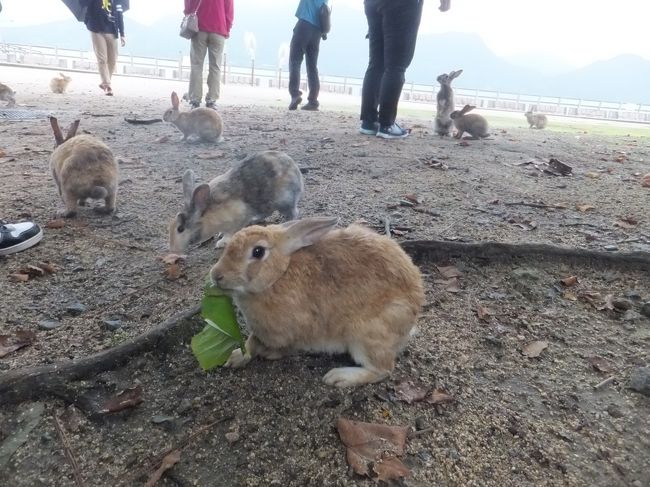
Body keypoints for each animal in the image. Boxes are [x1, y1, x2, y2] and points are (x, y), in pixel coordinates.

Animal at [168, 151, 302, 254]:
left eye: (180, 229)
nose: (173, 249)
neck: (206, 215)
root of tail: (296, 170)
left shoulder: (237, 218)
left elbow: (230, 232)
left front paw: (221, 242)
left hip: (284, 201)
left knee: (293, 212)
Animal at [209, 218, 426, 388]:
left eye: (258, 251)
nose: (216, 275)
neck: (279, 275)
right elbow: (251, 343)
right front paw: (235, 358)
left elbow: (264, 344)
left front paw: (264, 355)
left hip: (367, 335)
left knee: (382, 369)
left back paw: (339, 377)